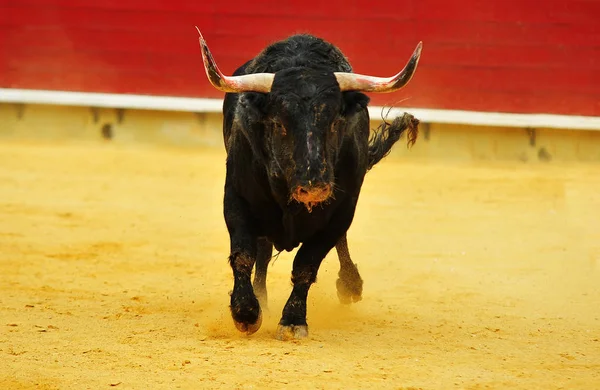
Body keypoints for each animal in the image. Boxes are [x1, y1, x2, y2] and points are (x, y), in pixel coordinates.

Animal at [197, 29, 422, 342]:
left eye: (335, 122)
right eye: (278, 123)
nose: (314, 187)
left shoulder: (341, 209)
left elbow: (307, 264)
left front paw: (293, 321)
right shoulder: (236, 199)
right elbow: (243, 255)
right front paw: (246, 313)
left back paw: (350, 285)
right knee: (262, 252)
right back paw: (262, 299)